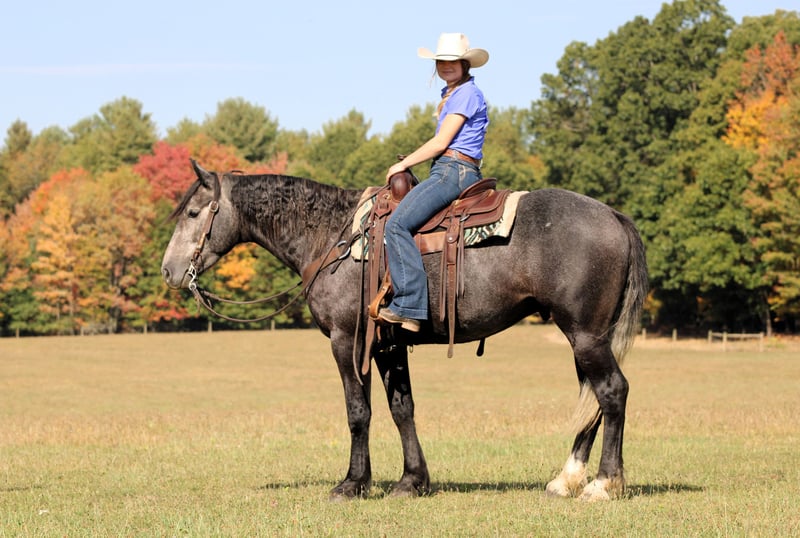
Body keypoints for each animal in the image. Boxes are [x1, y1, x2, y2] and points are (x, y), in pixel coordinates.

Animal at [161, 160, 648, 502]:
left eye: (193, 212)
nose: (168, 270)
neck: (331, 238)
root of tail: (613, 215)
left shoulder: (347, 340)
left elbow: (358, 412)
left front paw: (353, 484)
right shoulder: (388, 345)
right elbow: (402, 409)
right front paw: (412, 481)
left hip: (585, 336)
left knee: (612, 391)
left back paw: (603, 483)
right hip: (585, 336)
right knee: (592, 400)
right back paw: (566, 479)